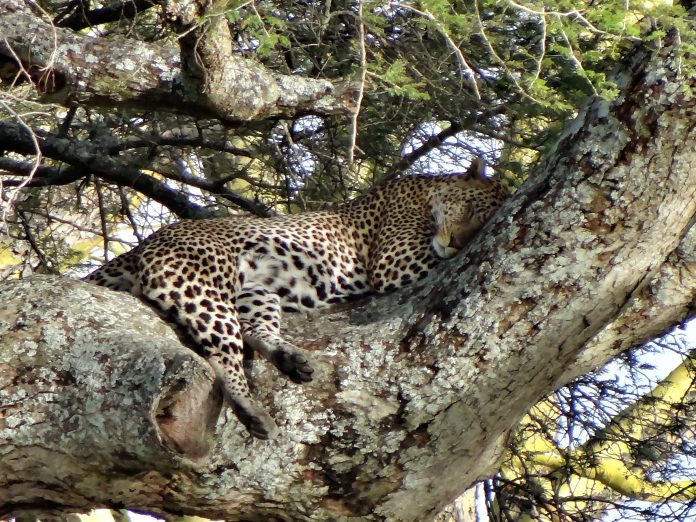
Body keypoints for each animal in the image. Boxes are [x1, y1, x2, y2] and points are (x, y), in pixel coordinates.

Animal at [85, 158, 512, 438]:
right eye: (470, 209)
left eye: (480, 226)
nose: (457, 244)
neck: (428, 189)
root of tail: (146, 243)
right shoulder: (396, 260)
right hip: (201, 285)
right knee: (223, 355)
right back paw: (253, 411)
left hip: (256, 292)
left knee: (253, 332)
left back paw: (291, 359)